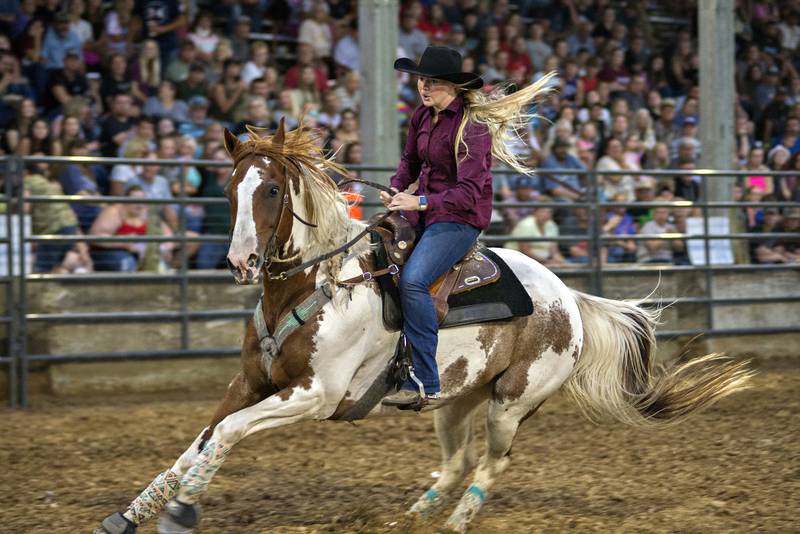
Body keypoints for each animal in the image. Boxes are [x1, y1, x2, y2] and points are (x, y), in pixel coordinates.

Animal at [97, 122, 752, 534]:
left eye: (275, 189)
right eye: (233, 189)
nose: (241, 261)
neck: (318, 284)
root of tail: (568, 296)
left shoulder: (314, 395)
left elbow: (226, 435)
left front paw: (182, 513)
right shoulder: (250, 383)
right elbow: (201, 440)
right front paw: (130, 515)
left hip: (513, 403)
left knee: (491, 464)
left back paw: (457, 523)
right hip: (454, 398)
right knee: (458, 461)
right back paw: (409, 519)